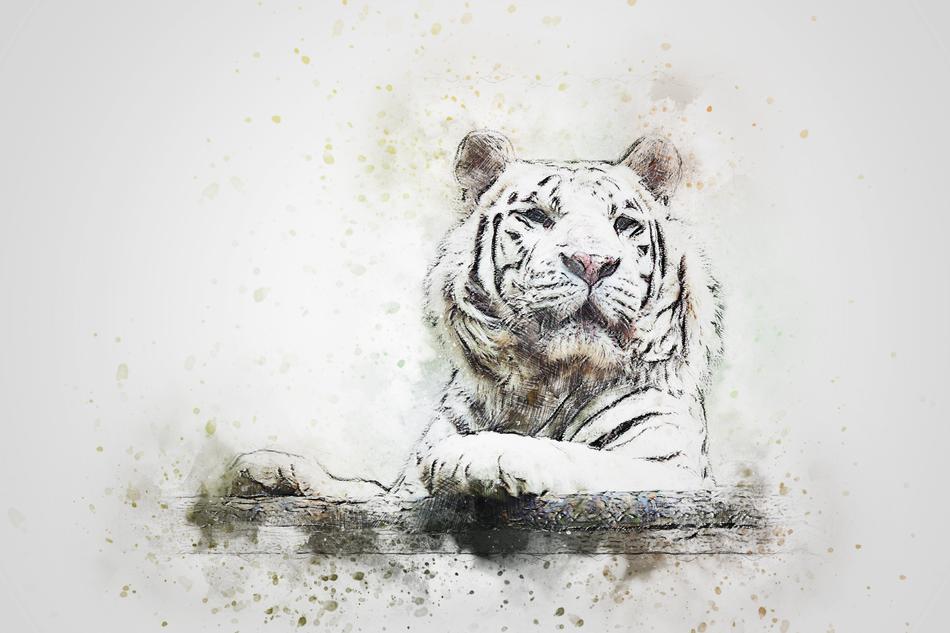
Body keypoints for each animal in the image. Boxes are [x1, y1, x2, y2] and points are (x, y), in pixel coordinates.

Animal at [229, 129, 723, 500]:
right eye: (537, 216)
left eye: (623, 224)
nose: (591, 262)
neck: (544, 383)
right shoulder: (402, 492)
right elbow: (362, 490)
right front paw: (270, 469)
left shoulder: (671, 469)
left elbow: (585, 458)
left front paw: (478, 455)